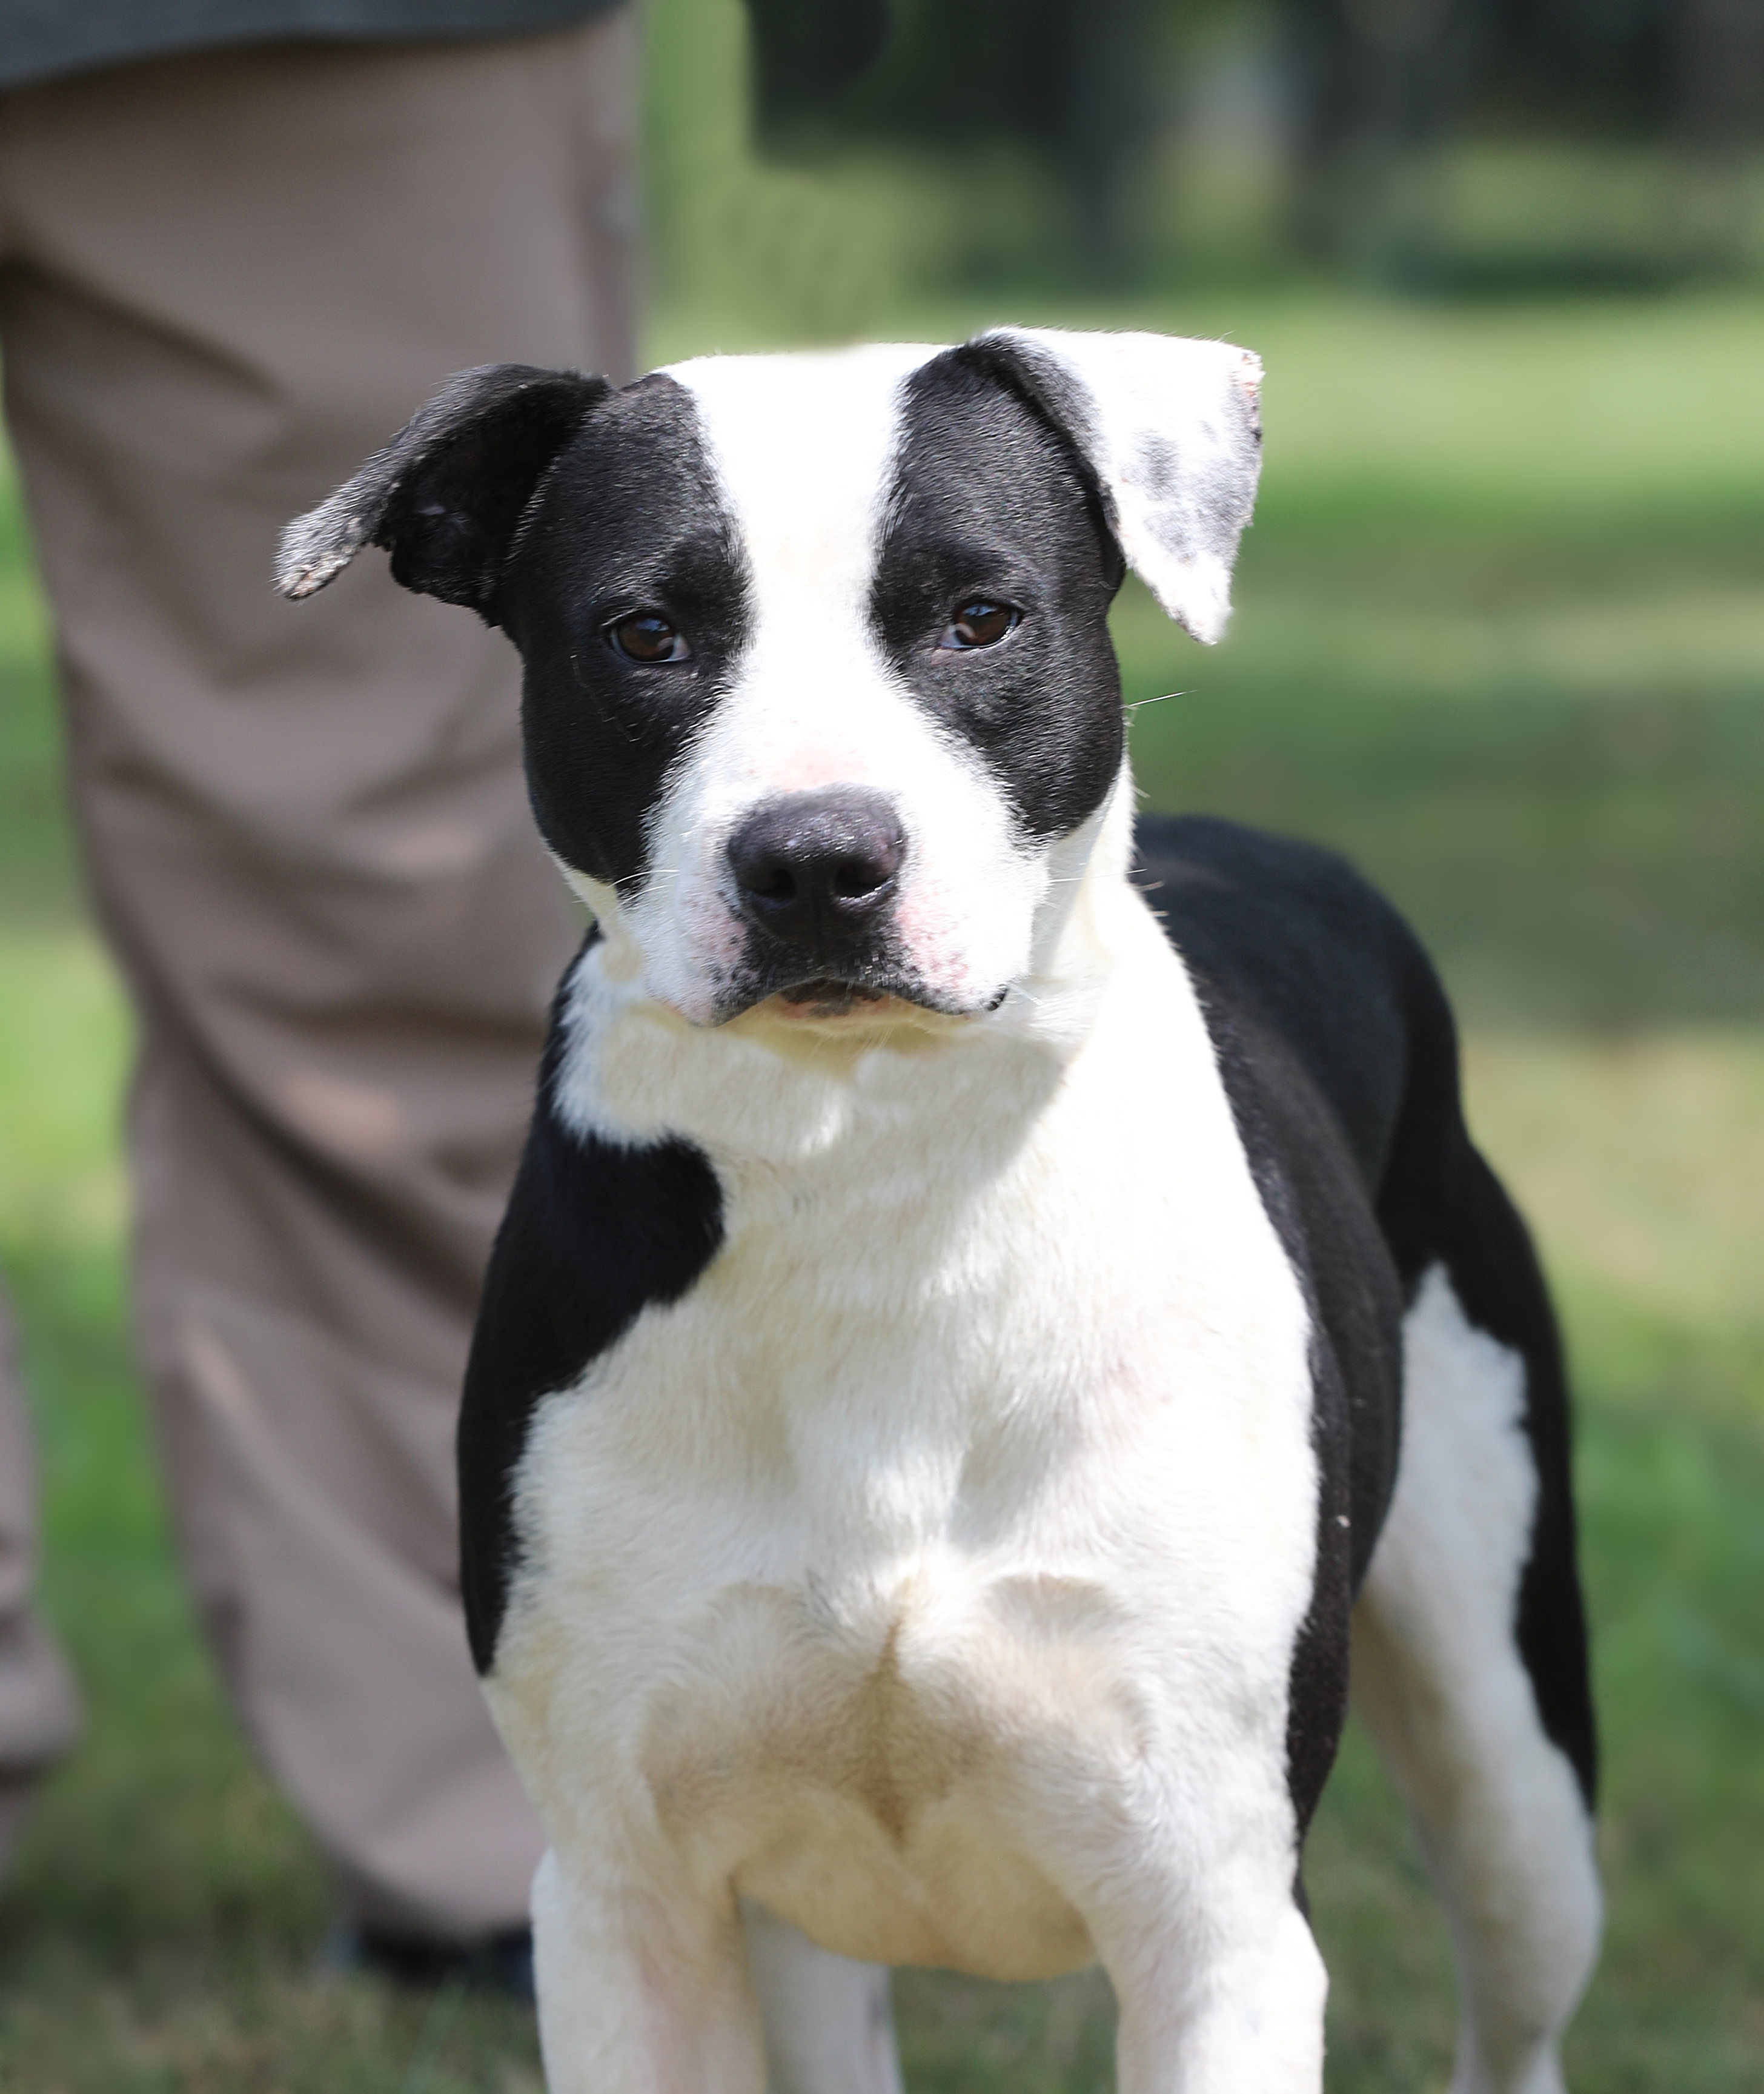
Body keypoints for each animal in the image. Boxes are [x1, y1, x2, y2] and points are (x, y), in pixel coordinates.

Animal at [282, 335, 1600, 2086]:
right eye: (646, 634)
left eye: (978, 616)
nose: (814, 857)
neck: (871, 1165)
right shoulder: (631, 1902)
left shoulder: (1218, 1920)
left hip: (1514, 1763)